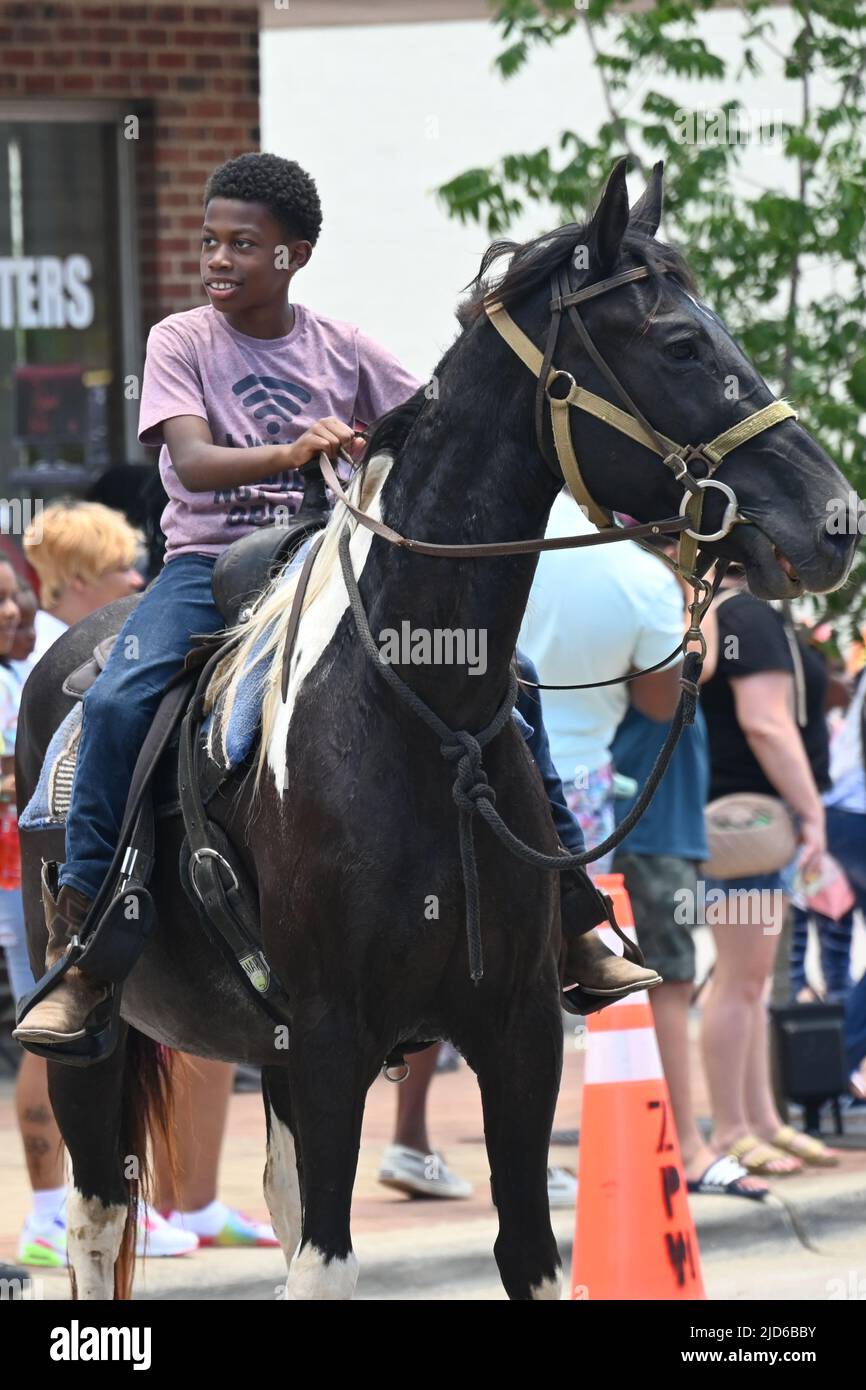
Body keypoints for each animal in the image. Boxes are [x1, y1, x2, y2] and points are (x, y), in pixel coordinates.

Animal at [16, 165, 856, 1301]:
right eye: (681, 345)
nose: (836, 520)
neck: (418, 711)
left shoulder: (515, 1033)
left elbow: (526, 1253)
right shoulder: (332, 1036)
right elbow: (324, 1261)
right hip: (97, 1051)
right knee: (100, 1220)